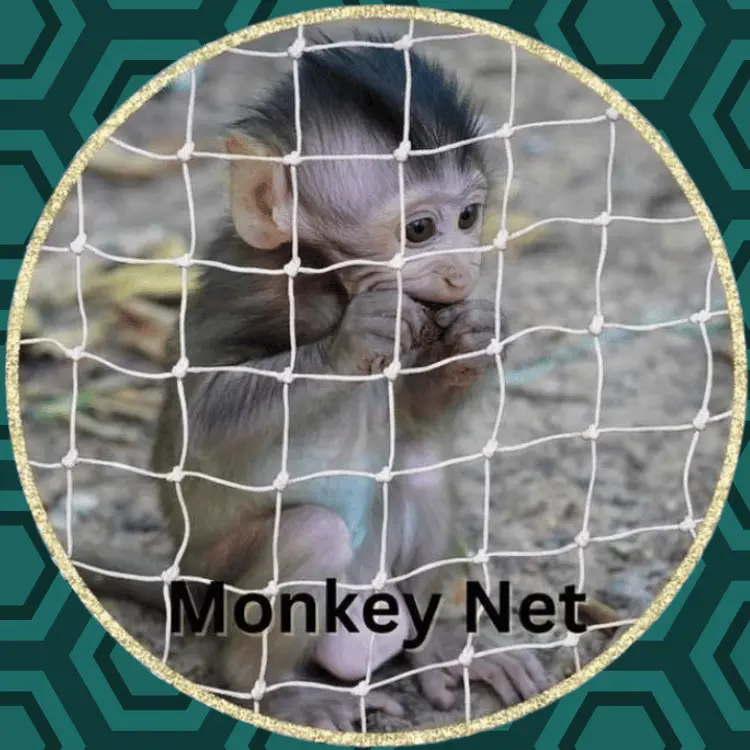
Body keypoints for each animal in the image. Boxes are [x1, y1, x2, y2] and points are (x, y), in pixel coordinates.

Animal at [74, 32, 549, 730]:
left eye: (469, 217)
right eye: (419, 230)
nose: (462, 271)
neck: (331, 282)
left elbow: (414, 417)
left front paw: (474, 332)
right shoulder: (252, 289)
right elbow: (203, 414)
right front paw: (357, 336)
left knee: (419, 470)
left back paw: (436, 651)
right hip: (219, 586)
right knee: (310, 534)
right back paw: (276, 689)